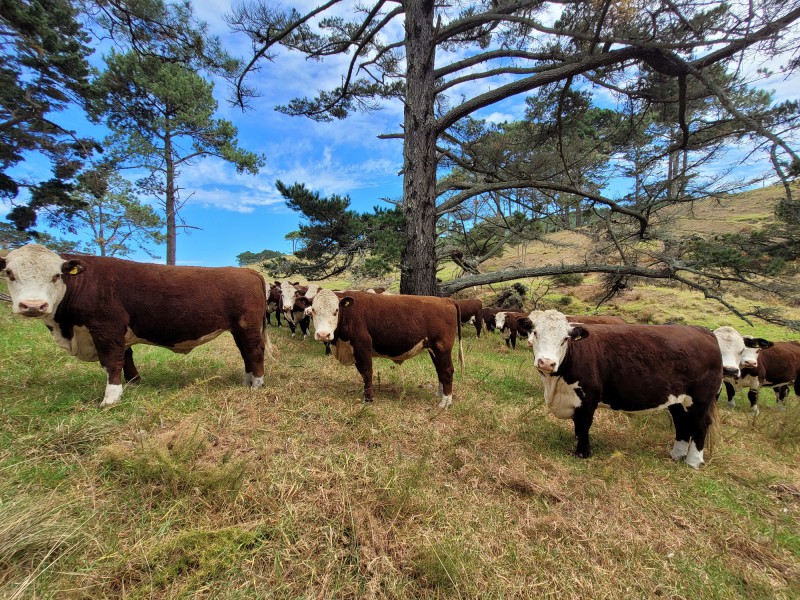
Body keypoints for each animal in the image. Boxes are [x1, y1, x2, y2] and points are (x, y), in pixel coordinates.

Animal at [0, 244, 272, 408]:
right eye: (10, 274)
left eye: (56, 275)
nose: (33, 305)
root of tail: (249, 272)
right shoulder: (117, 332)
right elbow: (126, 357)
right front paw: (133, 383)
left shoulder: (106, 327)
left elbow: (111, 361)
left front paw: (110, 399)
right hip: (238, 328)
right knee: (246, 352)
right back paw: (248, 380)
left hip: (246, 325)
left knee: (254, 350)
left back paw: (257, 384)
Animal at [528, 310, 720, 468]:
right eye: (535, 333)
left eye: (565, 339)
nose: (546, 362)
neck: (555, 384)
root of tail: (703, 331)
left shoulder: (588, 398)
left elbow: (583, 425)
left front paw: (582, 453)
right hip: (678, 400)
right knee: (682, 423)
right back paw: (676, 455)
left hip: (700, 399)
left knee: (700, 424)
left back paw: (693, 462)